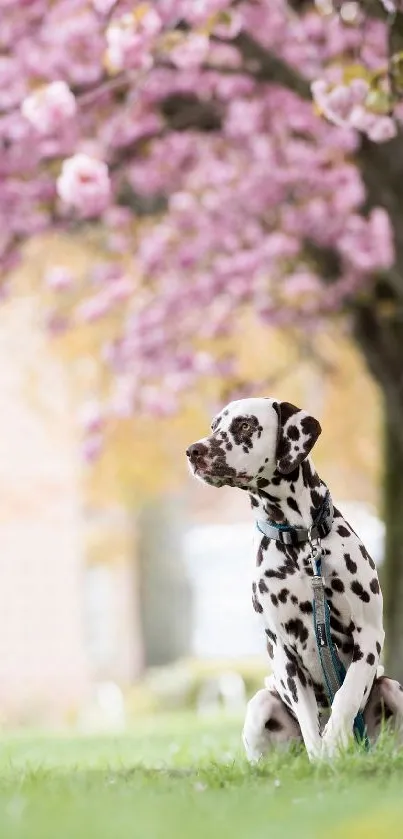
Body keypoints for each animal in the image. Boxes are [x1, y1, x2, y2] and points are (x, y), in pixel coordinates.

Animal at [188, 398, 403, 760]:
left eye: (245, 425)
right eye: (214, 426)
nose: (193, 451)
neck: (301, 542)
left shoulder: (369, 633)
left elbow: (347, 694)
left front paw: (335, 738)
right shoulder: (283, 651)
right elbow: (309, 721)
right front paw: (322, 756)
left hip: (393, 689)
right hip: (261, 703)